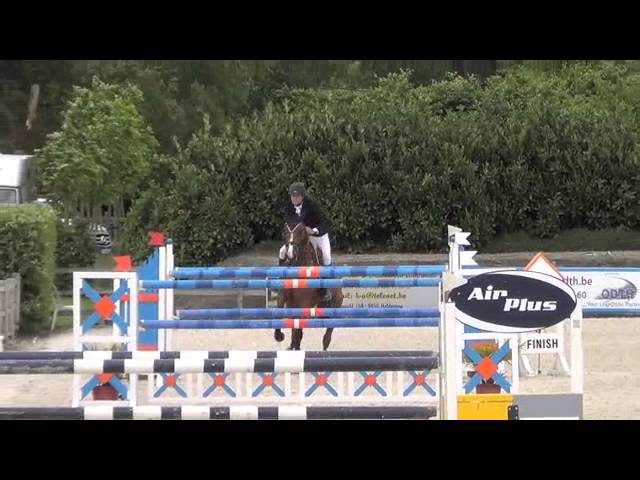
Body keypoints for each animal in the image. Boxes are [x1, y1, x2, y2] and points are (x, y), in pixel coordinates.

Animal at [273, 220, 344, 350]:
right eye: (284, 231)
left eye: (301, 231)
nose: (290, 254)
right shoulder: (284, 296)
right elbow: (280, 313)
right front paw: (279, 336)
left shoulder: (304, 303)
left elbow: (297, 331)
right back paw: (292, 346)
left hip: (334, 308)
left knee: (327, 335)